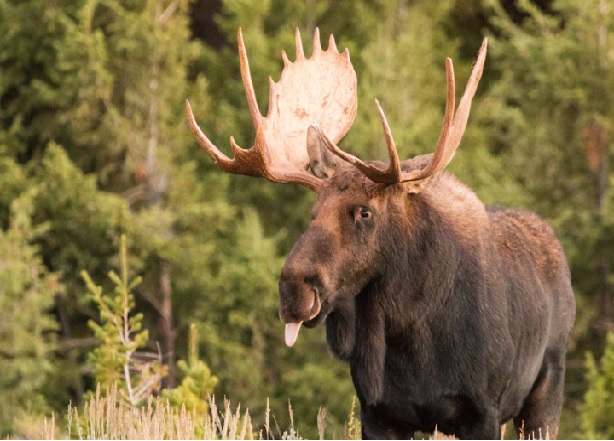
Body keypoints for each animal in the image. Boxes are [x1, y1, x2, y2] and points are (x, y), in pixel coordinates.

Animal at [186, 29, 576, 438]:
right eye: (313, 213)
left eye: (365, 211)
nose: (293, 289)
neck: (413, 338)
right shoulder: (378, 412)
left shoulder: (481, 410)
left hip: (545, 391)